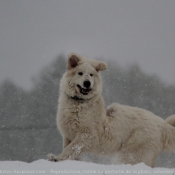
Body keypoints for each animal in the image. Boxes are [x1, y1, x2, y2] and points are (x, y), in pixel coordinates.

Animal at [47, 53, 175, 167]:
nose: (87, 83)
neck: (79, 103)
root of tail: (163, 125)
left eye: (91, 75)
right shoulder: (68, 135)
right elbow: (70, 149)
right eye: (80, 73)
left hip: (132, 153)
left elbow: (71, 148)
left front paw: (57, 159)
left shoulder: (88, 135)